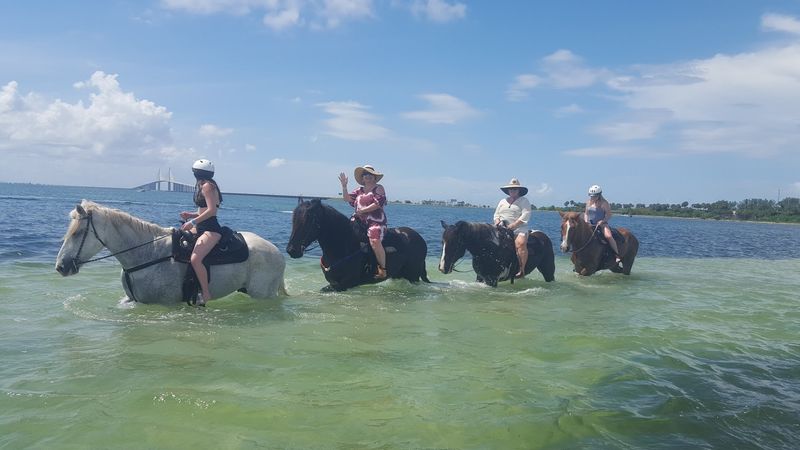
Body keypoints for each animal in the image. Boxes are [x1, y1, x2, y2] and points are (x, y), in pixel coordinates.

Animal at [55, 200, 287, 304]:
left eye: (78, 232)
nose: (61, 266)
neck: (148, 253)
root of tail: (277, 251)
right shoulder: (131, 301)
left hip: (262, 294)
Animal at [285, 199, 430, 291]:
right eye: (294, 219)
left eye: (310, 220)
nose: (291, 250)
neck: (345, 244)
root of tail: (420, 239)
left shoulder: (346, 284)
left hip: (413, 276)